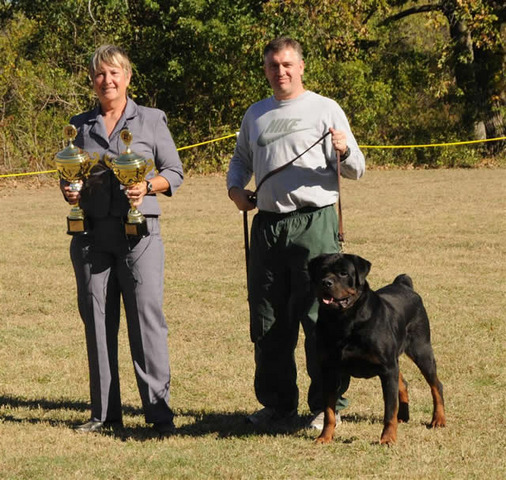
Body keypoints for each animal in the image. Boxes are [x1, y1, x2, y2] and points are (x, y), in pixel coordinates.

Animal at [308, 253, 446, 444]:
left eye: (344, 273)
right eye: (322, 271)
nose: (326, 282)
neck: (344, 320)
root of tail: (404, 284)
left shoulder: (387, 368)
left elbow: (389, 410)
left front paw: (388, 439)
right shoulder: (329, 369)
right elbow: (328, 411)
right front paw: (324, 437)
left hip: (421, 349)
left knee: (436, 385)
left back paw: (438, 419)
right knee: (403, 383)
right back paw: (403, 416)